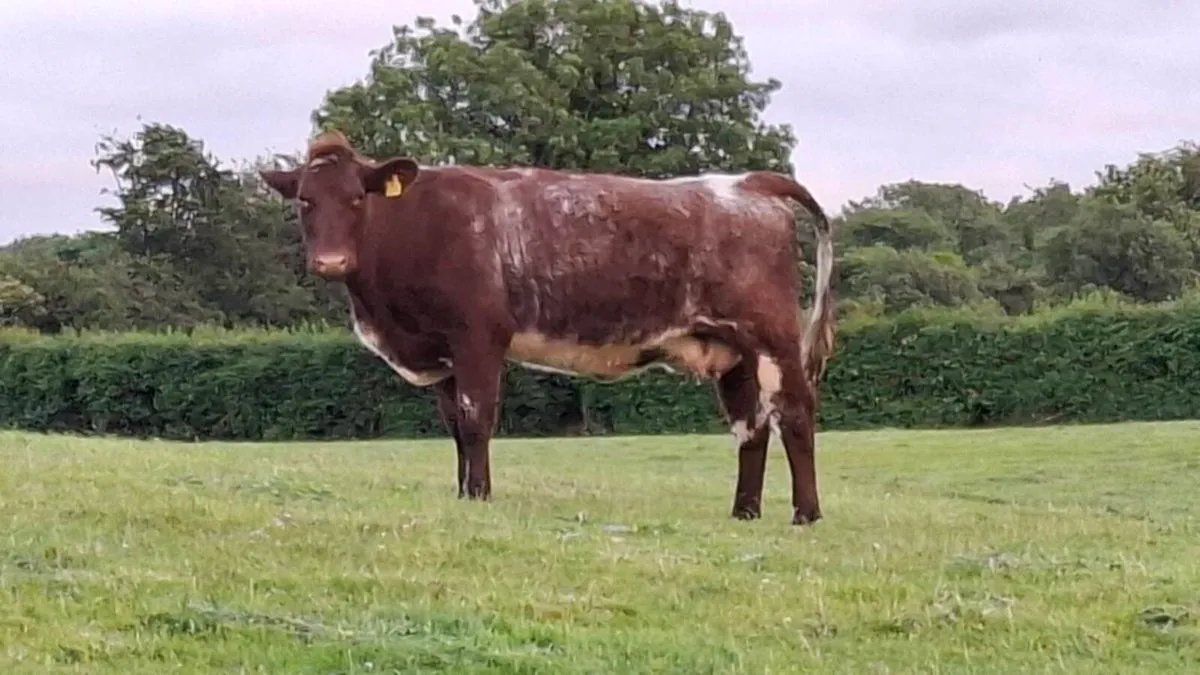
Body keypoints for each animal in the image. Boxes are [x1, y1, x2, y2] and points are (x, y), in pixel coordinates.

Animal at [260, 130, 837, 525]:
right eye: (305, 200)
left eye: (358, 198)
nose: (331, 262)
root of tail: (748, 183)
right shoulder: (443, 352)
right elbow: (454, 426)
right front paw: (463, 493)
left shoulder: (478, 338)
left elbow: (477, 420)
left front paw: (481, 495)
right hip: (732, 351)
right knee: (751, 426)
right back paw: (745, 512)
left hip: (773, 336)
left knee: (794, 414)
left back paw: (805, 513)